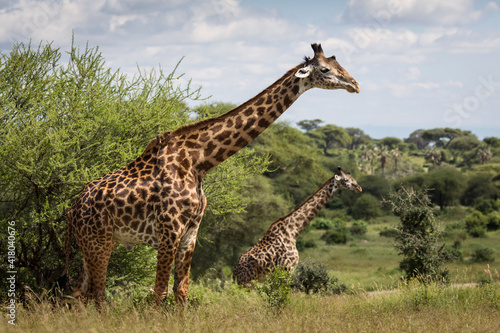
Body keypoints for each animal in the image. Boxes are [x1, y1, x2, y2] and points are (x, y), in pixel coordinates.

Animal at [232, 167, 362, 284]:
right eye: (345, 180)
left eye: (353, 178)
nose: (359, 188)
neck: (293, 231)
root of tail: (235, 270)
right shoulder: (287, 269)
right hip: (247, 281)